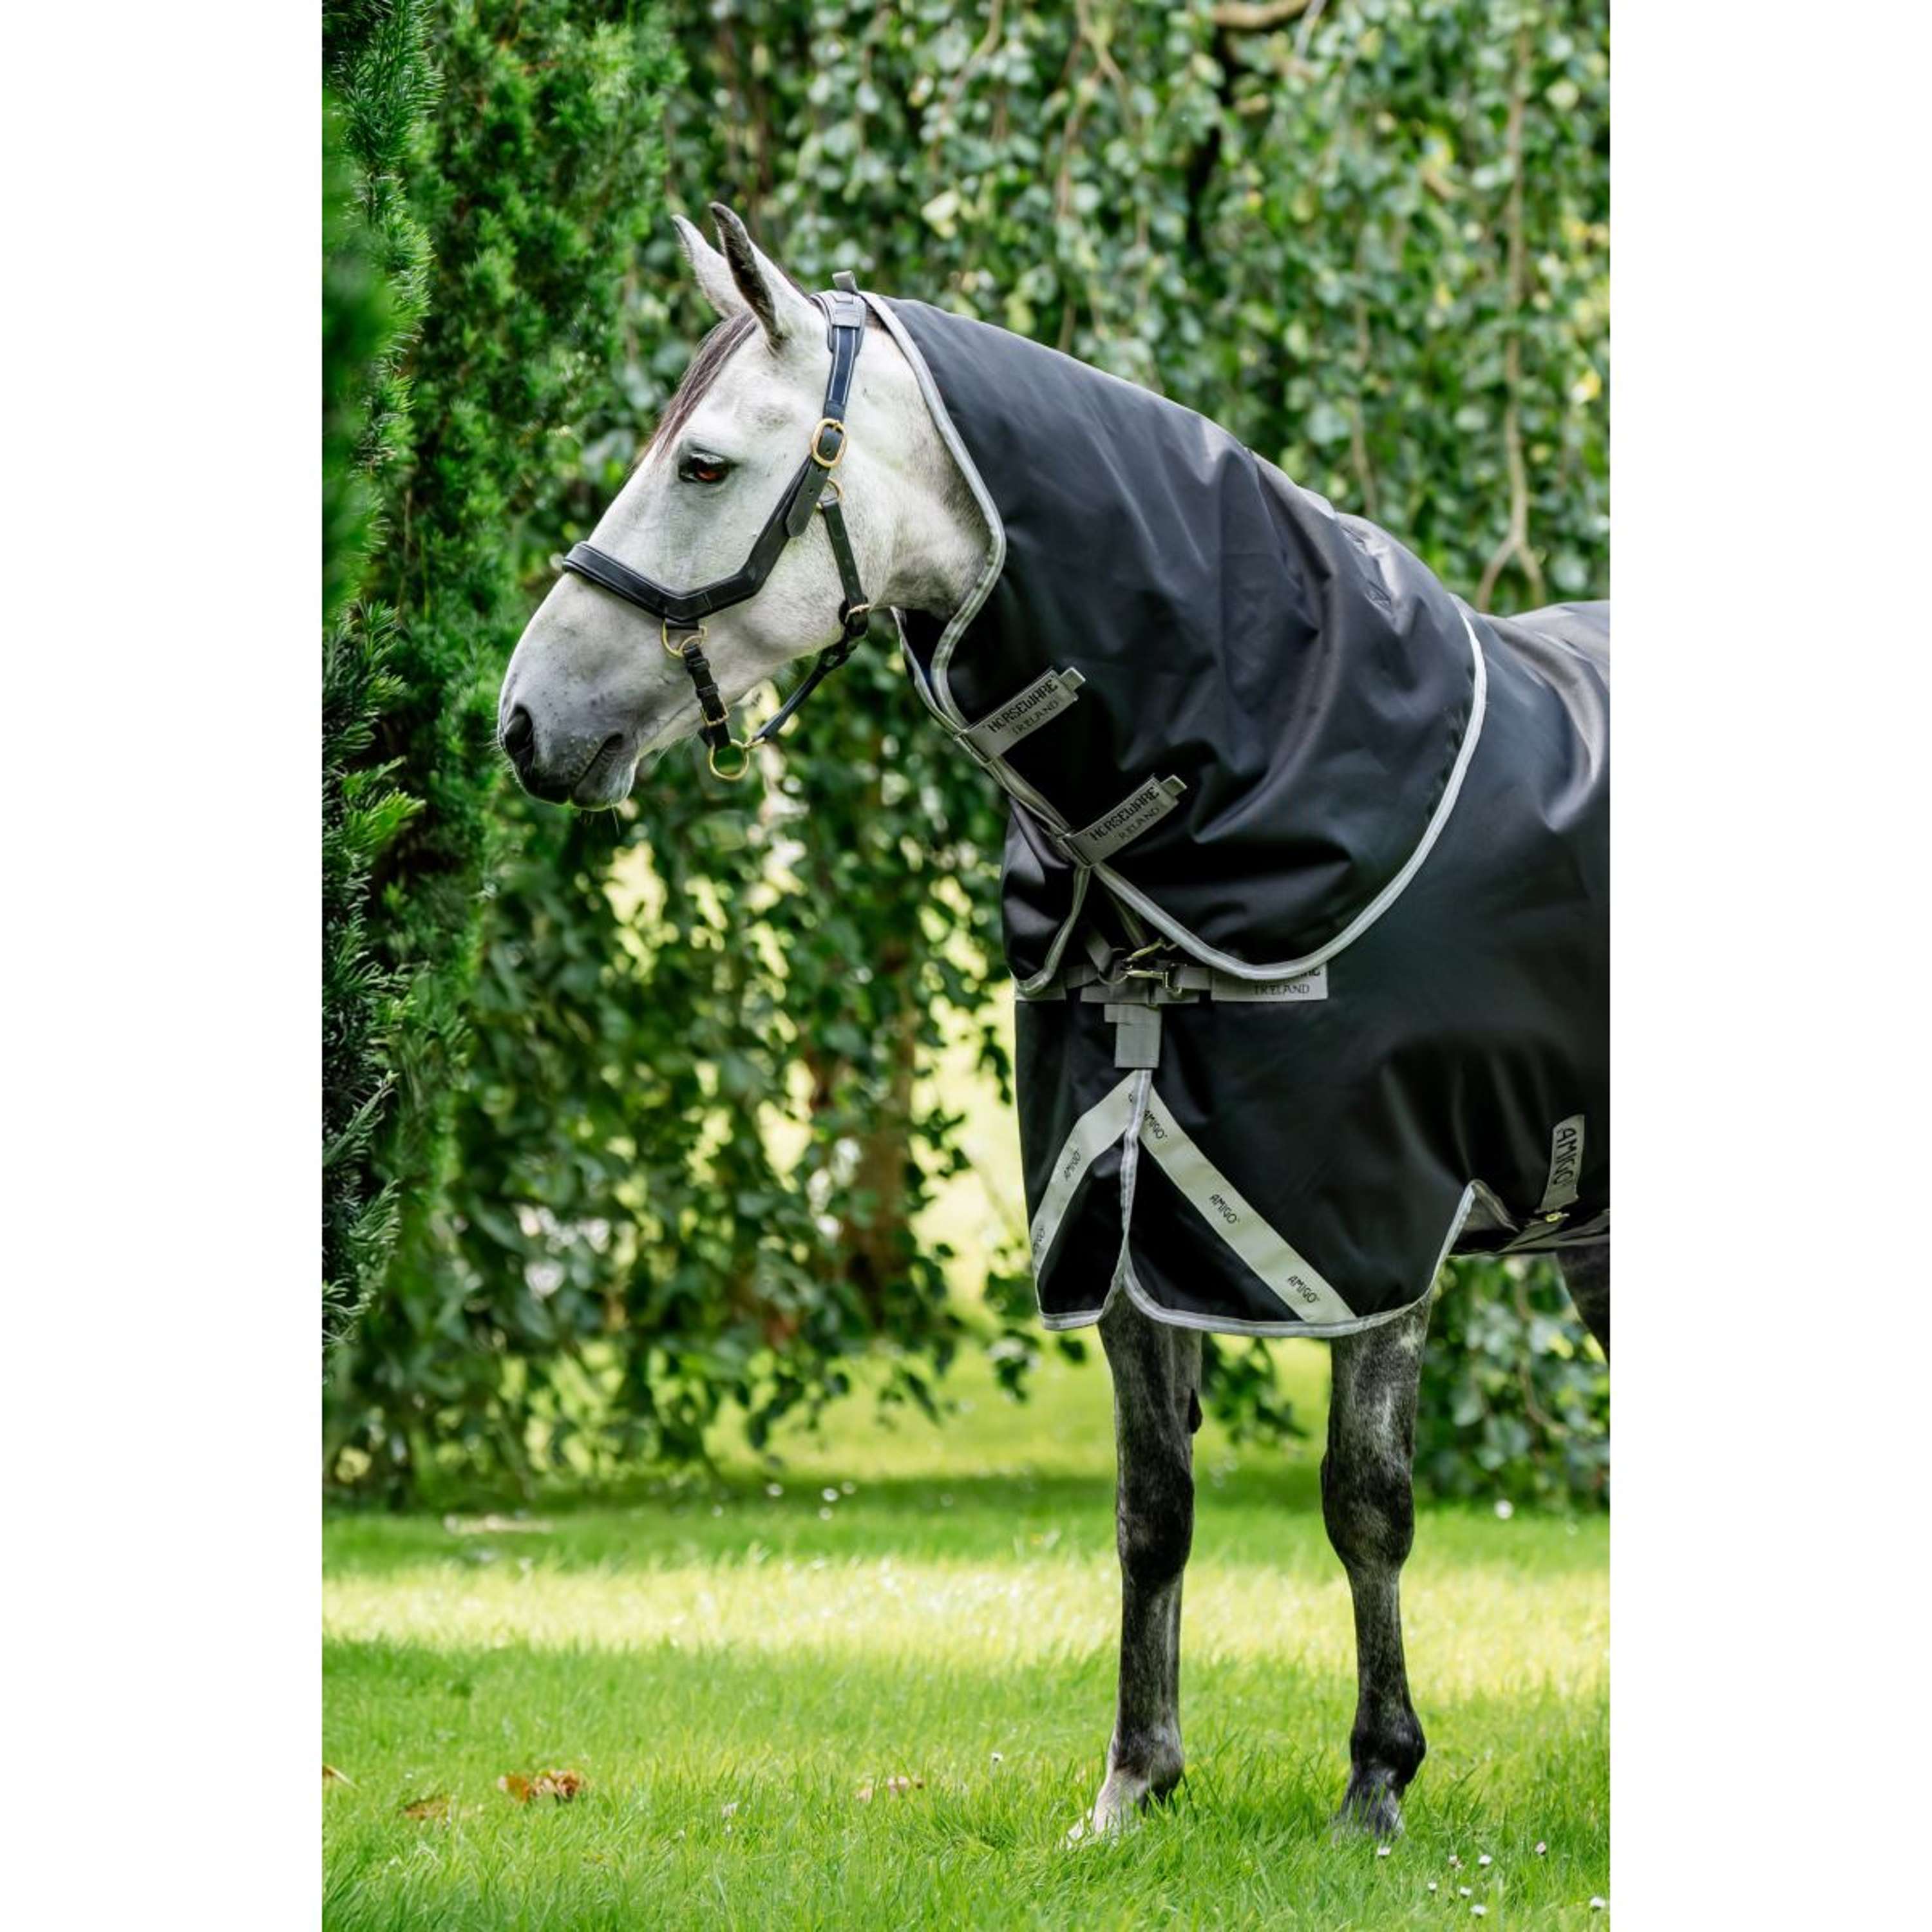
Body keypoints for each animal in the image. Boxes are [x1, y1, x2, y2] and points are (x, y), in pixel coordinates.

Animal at [498, 204, 1610, 1841]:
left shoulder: (1368, 1235)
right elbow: (1152, 1510)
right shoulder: (1132, 1205)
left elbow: (1364, 1502)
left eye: (700, 464)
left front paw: (1374, 1782)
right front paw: (1132, 1786)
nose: (523, 724)